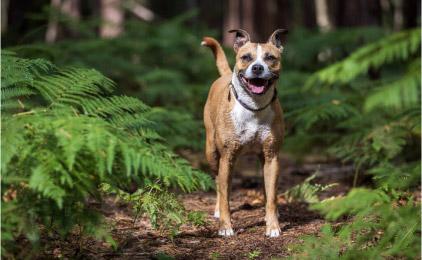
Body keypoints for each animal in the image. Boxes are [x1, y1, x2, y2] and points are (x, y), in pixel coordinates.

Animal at [200, 29, 286, 238]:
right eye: (246, 57)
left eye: (270, 58)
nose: (257, 68)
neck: (254, 107)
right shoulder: (227, 157)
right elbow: (225, 195)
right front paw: (225, 226)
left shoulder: (272, 156)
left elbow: (271, 195)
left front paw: (273, 225)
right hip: (212, 153)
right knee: (218, 183)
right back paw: (218, 210)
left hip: (263, 160)